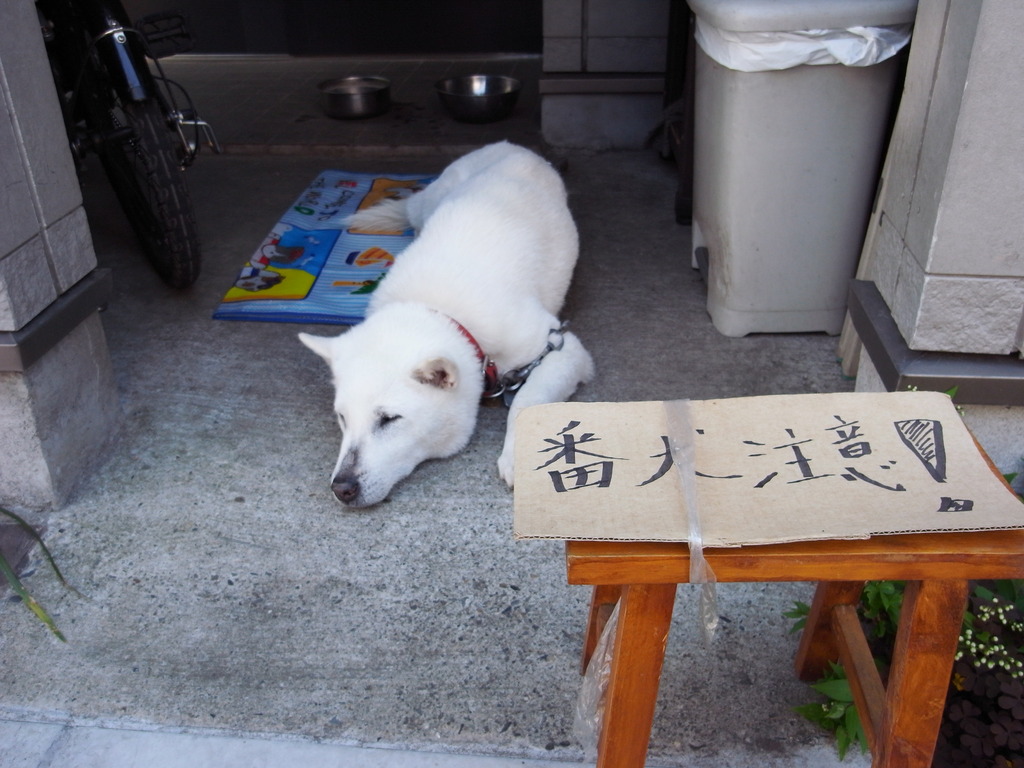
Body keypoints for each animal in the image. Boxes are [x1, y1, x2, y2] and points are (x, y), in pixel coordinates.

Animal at [299, 141, 593, 507]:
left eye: (389, 419)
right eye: (342, 417)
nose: (341, 489)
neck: (440, 309)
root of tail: (510, 146)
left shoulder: (564, 349)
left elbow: (525, 401)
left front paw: (519, 455)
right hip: (431, 200)